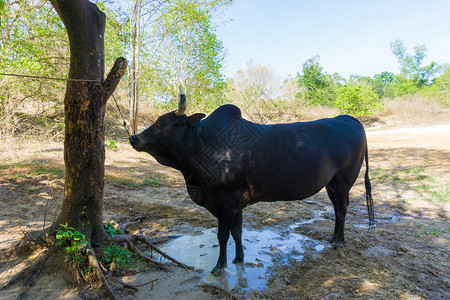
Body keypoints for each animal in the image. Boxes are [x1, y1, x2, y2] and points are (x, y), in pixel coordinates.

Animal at [128, 102, 374, 274]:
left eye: (162, 123)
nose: (133, 138)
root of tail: (349, 118)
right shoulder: (236, 204)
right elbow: (237, 232)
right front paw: (238, 258)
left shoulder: (225, 201)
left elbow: (222, 235)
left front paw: (220, 266)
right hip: (330, 184)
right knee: (336, 208)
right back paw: (333, 237)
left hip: (344, 181)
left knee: (342, 207)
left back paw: (340, 241)